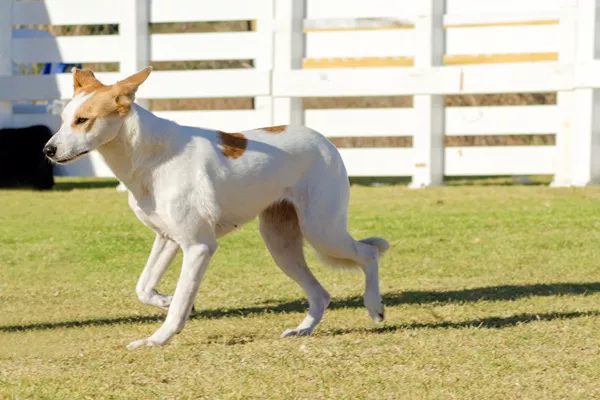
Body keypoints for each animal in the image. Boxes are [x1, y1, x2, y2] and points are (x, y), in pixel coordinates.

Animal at [42, 67, 390, 348]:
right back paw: (302, 330)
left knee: (369, 253)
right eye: (63, 120)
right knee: (321, 294)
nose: (48, 150)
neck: (151, 156)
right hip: (281, 244)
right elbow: (144, 287)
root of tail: (325, 141)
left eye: (83, 120)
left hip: (322, 231)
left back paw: (374, 306)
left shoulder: (198, 247)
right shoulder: (168, 239)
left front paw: (158, 338)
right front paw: (167, 301)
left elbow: (181, 300)